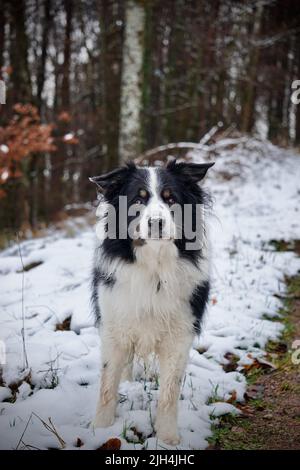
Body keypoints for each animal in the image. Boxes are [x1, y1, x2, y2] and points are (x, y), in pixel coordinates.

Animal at [89, 161, 213, 444]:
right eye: (138, 199)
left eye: (171, 199)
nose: (156, 222)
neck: (154, 266)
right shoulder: (114, 325)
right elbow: (107, 384)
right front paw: (100, 429)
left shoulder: (180, 334)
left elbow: (169, 392)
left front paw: (167, 438)